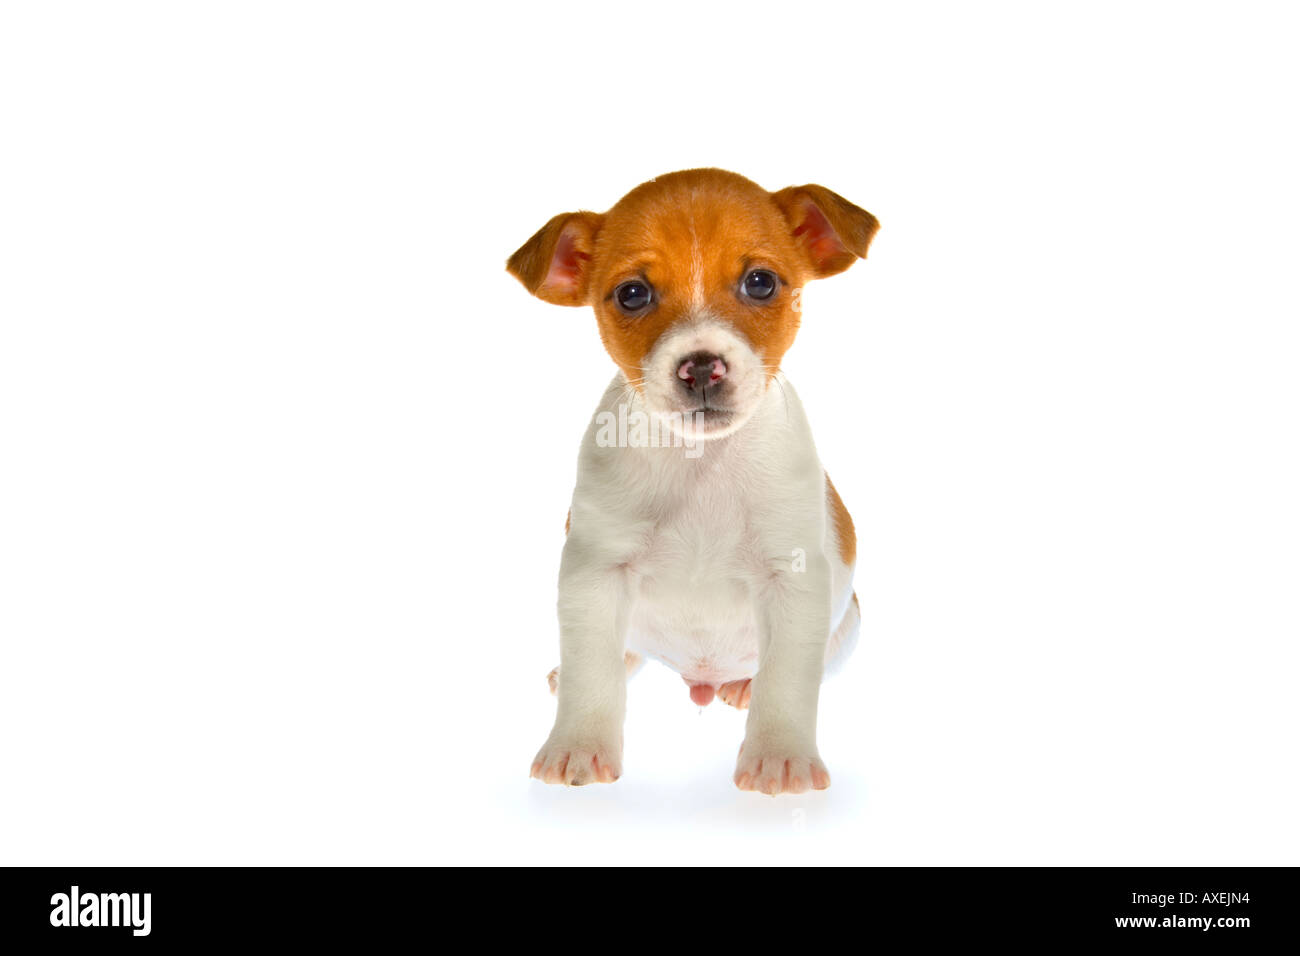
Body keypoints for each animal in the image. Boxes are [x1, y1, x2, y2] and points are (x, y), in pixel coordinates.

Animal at [506, 167, 883, 796]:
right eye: (633, 294)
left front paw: (780, 755)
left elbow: (788, 681)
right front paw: (578, 745)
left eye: (760, 283)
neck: (702, 463)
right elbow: (592, 670)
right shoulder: (593, 573)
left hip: (848, 621)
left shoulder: (793, 580)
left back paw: (743, 686)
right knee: (618, 652)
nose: (701, 366)